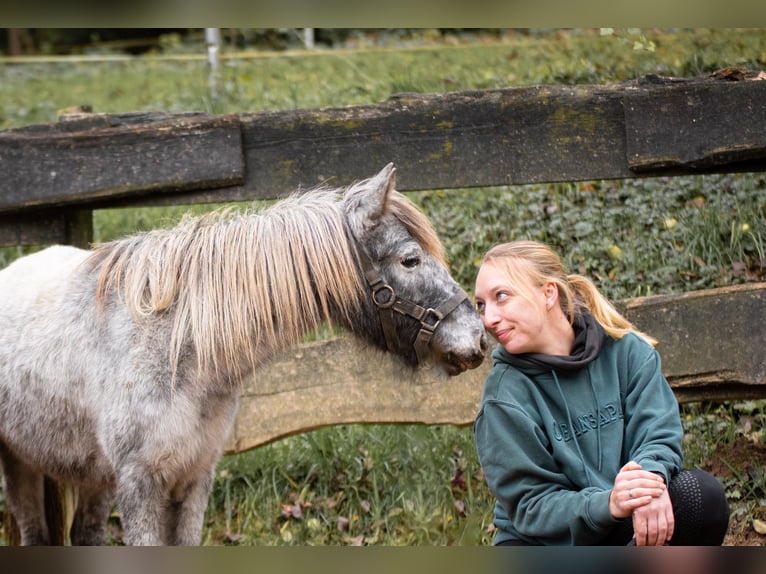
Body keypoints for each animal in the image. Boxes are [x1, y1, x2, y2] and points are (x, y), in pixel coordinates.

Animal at [0, 164, 488, 548]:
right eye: (410, 260)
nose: (479, 338)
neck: (179, 345)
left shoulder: (194, 479)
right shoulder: (140, 484)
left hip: (92, 475)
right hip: (20, 463)